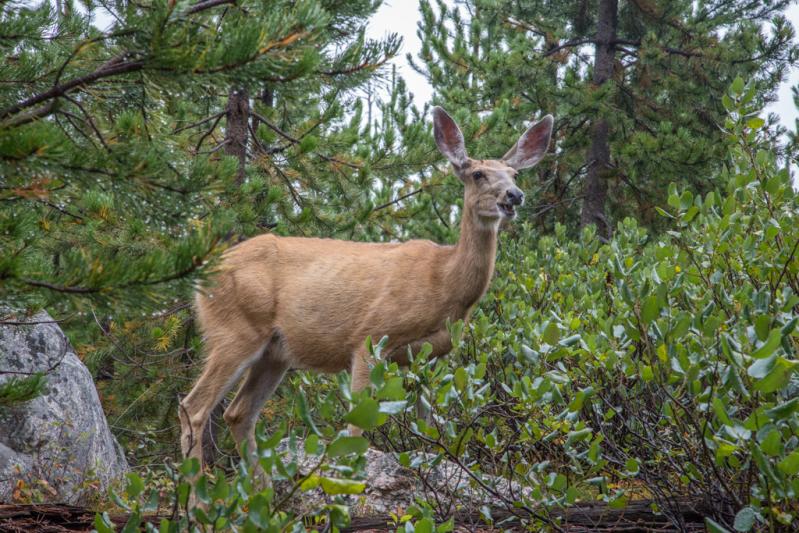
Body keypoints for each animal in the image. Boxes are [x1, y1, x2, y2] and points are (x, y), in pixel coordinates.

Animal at [180, 107, 556, 466]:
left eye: (514, 173)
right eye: (478, 174)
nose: (514, 195)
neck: (444, 283)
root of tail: (203, 272)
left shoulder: (430, 356)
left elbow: (431, 427)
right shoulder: (370, 337)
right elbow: (355, 426)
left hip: (275, 352)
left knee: (238, 413)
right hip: (235, 328)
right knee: (194, 407)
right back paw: (196, 489)